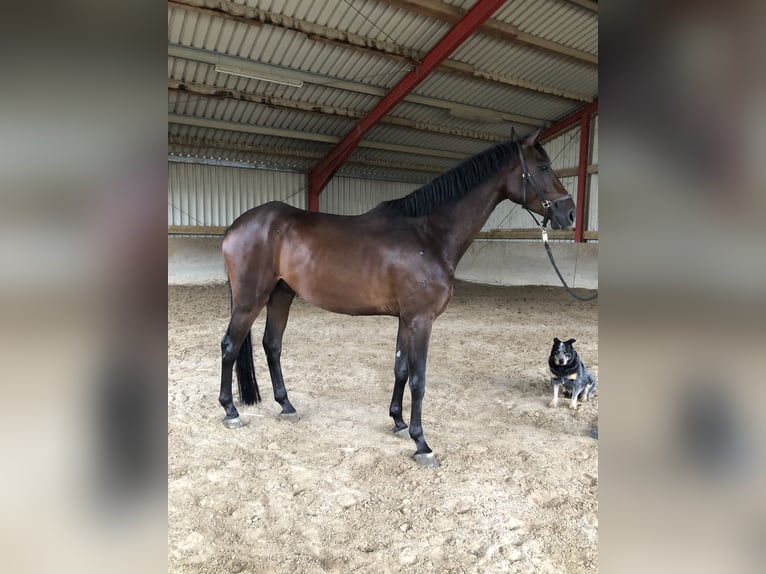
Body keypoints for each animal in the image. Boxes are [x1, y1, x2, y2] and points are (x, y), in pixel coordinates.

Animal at [219, 128, 572, 466]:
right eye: (543, 167)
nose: (568, 214)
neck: (429, 234)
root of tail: (236, 226)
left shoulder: (406, 318)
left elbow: (400, 368)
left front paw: (399, 423)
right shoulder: (421, 320)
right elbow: (419, 379)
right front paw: (422, 443)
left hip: (281, 295)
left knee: (272, 345)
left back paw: (286, 406)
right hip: (250, 300)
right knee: (230, 347)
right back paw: (230, 411)